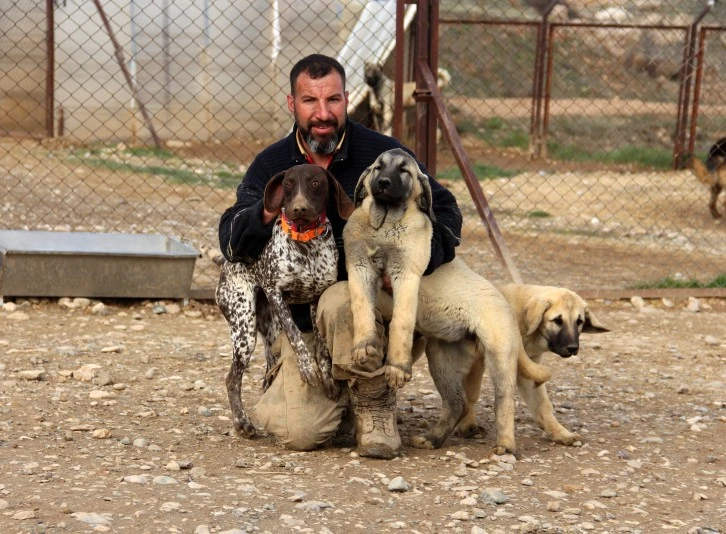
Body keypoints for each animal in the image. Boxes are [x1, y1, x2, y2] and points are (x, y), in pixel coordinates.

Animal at [215, 166, 354, 440]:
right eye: (288, 184)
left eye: (315, 183)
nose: (298, 208)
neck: (307, 243)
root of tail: (225, 264)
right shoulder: (275, 293)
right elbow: (297, 336)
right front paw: (307, 368)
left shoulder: (318, 295)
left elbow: (321, 345)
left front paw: (328, 378)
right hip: (244, 330)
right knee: (231, 379)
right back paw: (242, 423)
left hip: (269, 334)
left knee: (267, 372)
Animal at [458, 284, 612, 448]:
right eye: (557, 320)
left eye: (579, 321)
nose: (572, 348)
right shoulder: (478, 359)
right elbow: (471, 393)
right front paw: (467, 424)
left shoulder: (529, 368)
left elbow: (542, 404)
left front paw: (561, 433)